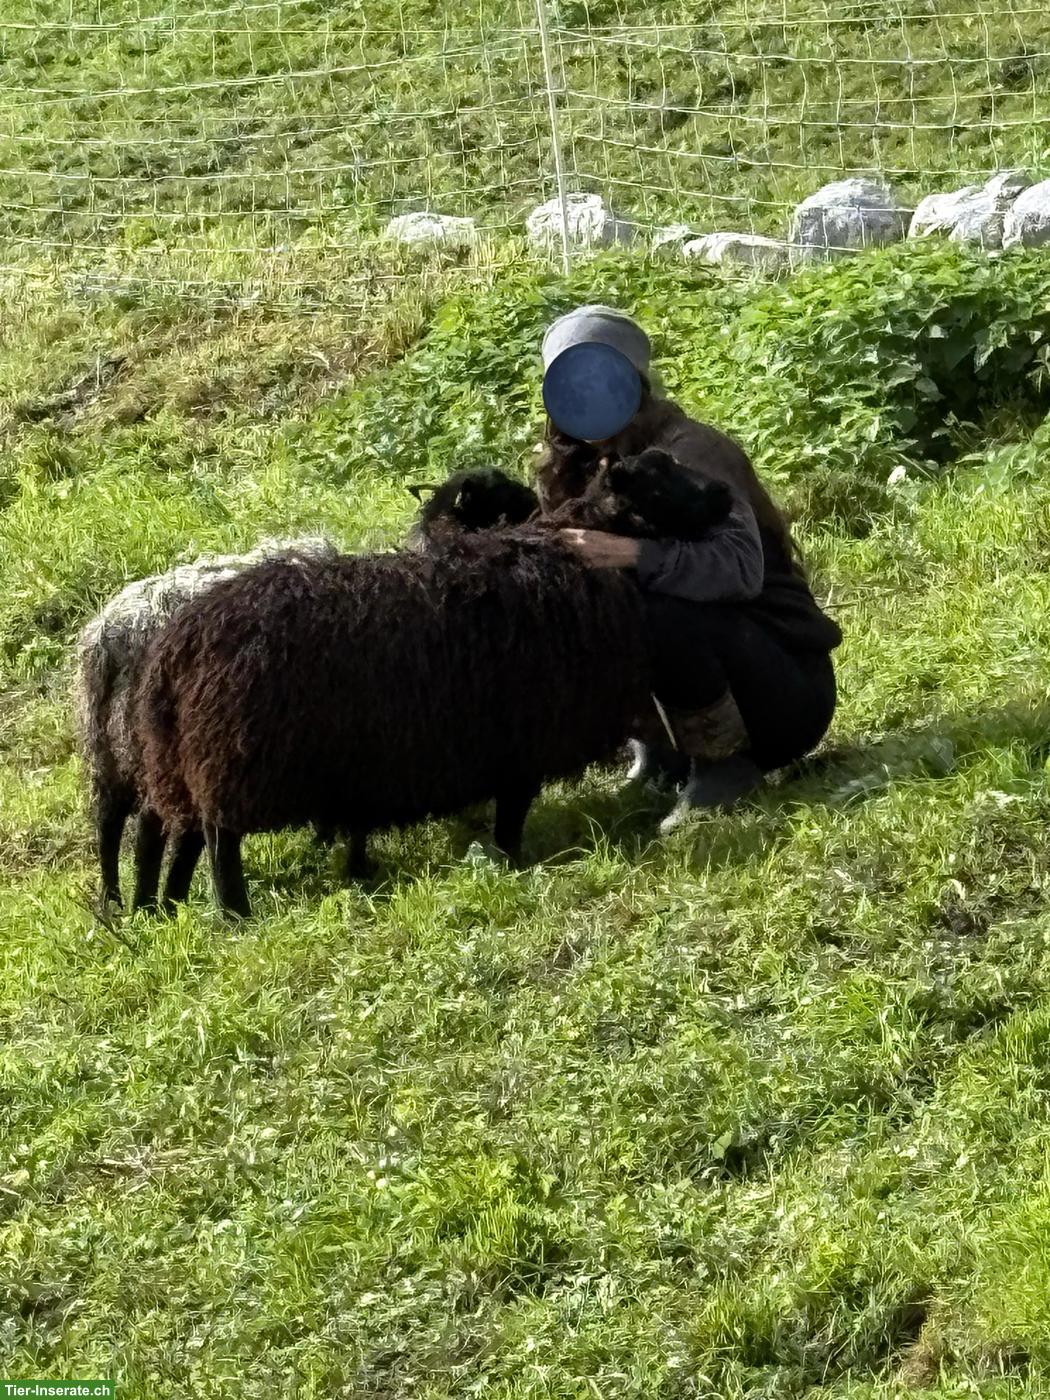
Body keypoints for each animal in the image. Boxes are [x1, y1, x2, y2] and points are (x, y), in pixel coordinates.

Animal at [75, 534, 336, 909]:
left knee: (109, 822)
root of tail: (111, 638)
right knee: (149, 827)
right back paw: (149, 903)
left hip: (110, 747)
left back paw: (120, 904)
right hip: (149, 748)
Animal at [128, 449, 733, 918]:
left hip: (187, 759)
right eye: (658, 483)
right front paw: (512, 863)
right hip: (234, 760)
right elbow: (512, 814)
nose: (726, 493)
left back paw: (173, 907)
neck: (571, 553)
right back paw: (234, 913)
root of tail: (177, 646)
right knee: (218, 839)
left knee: (183, 835)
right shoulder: (520, 740)